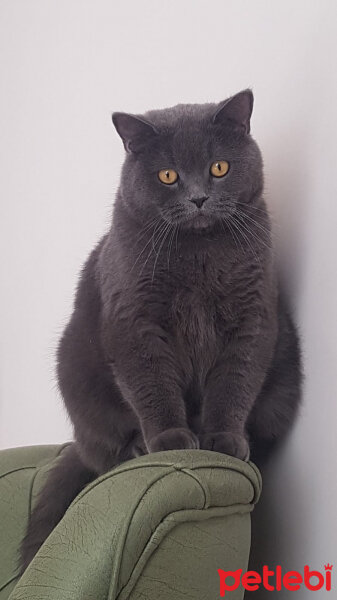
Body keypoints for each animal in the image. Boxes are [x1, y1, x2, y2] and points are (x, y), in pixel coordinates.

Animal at [19, 90, 300, 572]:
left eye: (219, 167)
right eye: (168, 175)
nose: (199, 198)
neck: (199, 253)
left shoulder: (253, 319)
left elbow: (235, 382)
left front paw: (223, 440)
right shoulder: (135, 323)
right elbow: (151, 383)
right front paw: (170, 440)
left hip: (283, 381)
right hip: (75, 373)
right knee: (103, 449)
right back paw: (139, 447)